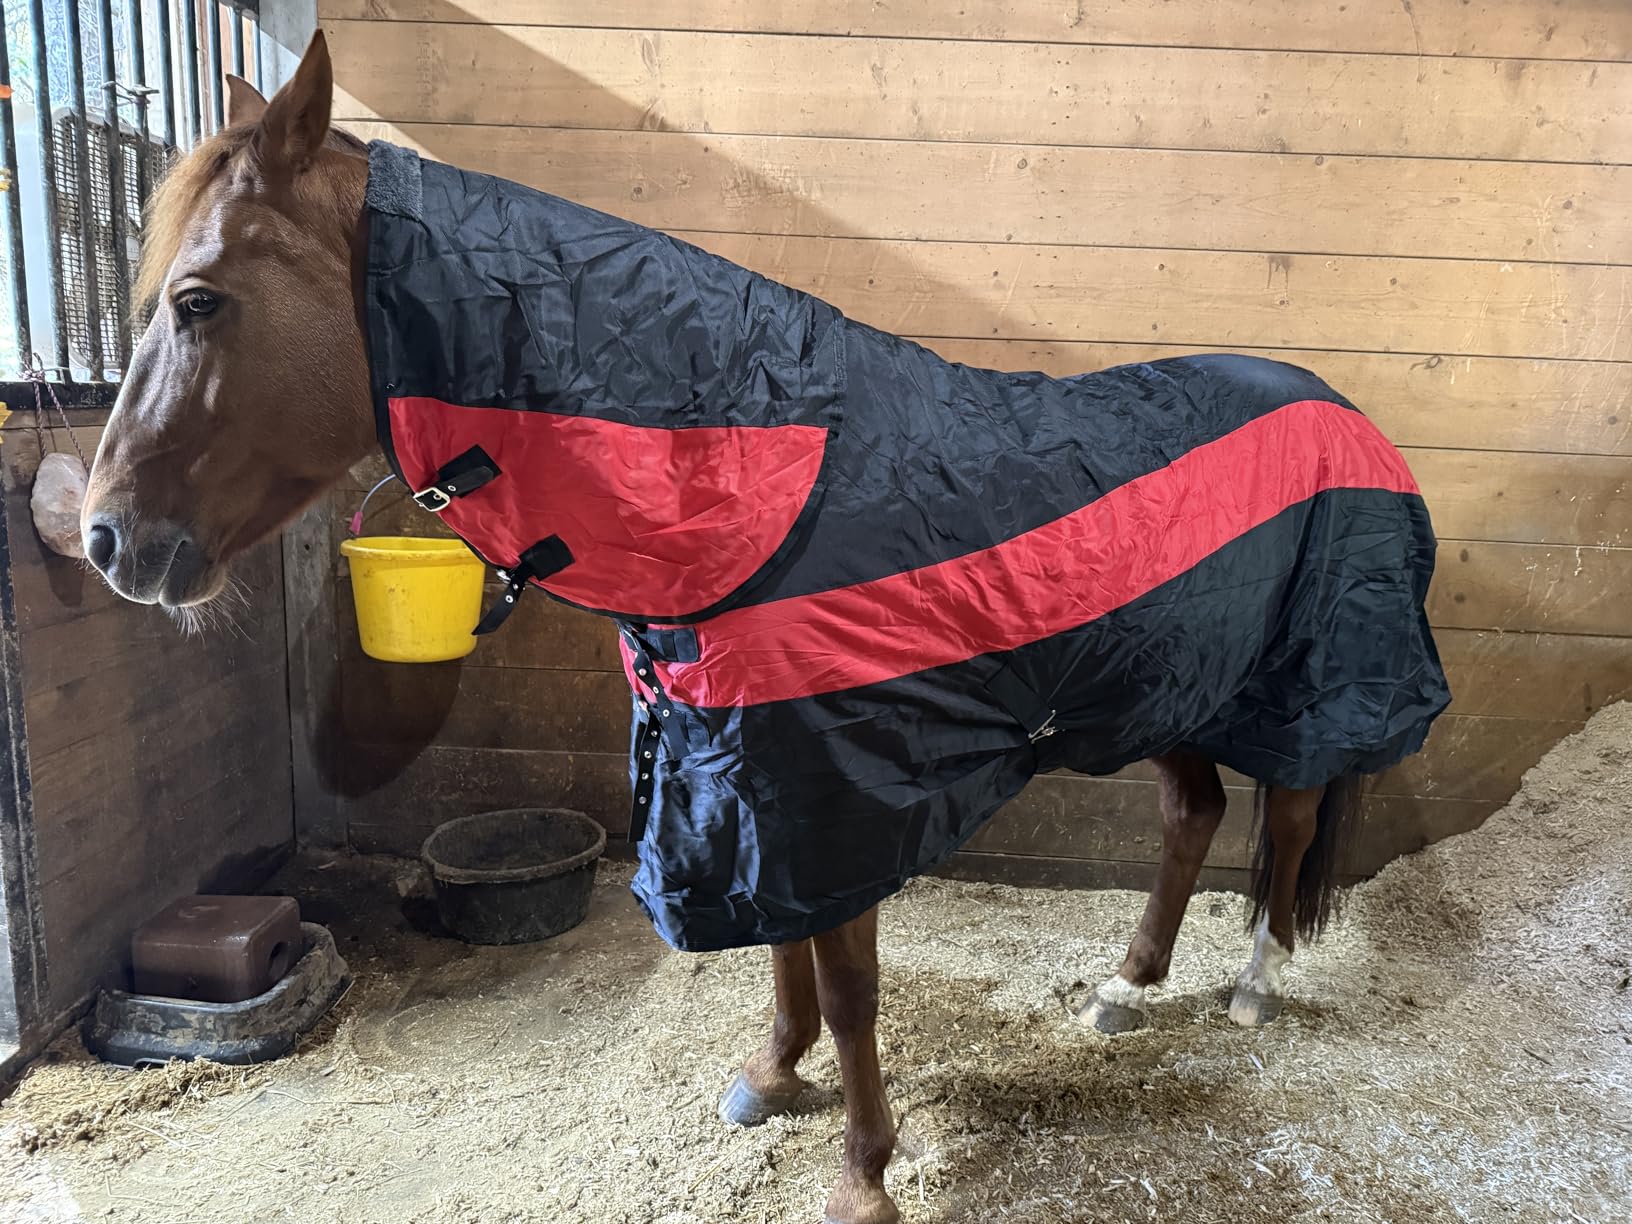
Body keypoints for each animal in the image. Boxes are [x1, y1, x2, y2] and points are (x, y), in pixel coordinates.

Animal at [82, 35, 1449, 1224]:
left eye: (197, 302)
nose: (106, 540)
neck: (761, 479)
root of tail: (1345, 413)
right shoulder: (740, 777)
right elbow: (783, 956)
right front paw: (772, 1077)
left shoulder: (822, 788)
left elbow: (847, 985)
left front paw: (863, 1172)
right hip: (1171, 683)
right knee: (1194, 816)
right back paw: (1123, 990)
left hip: (1299, 685)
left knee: (1291, 825)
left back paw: (1254, 991)